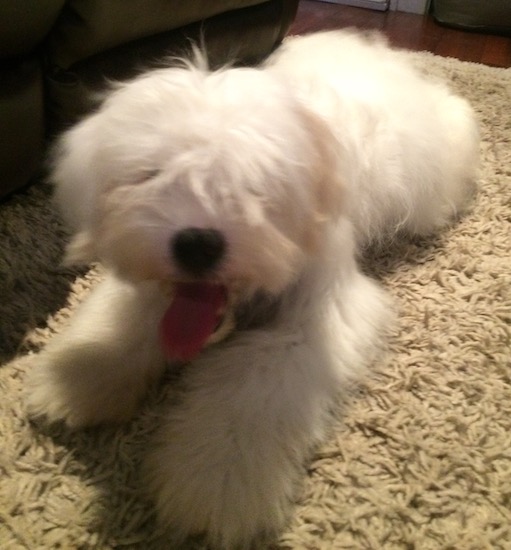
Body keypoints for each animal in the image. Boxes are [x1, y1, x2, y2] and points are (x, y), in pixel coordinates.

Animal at [24, 32, 480, 548]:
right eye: (152, 173)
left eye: (253, 183)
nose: (195, 244)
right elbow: (129, 319)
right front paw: (80, 381)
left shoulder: (310, 320)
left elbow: (250, 391)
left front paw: (212, 485)